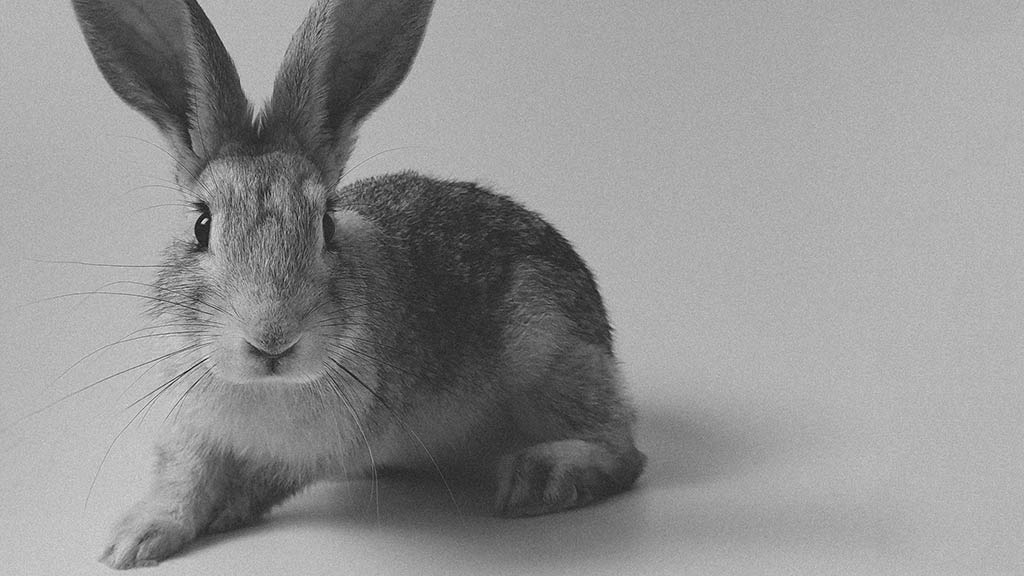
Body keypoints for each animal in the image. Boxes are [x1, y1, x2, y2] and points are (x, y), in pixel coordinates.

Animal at [74, 0, 647, 565]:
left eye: (326, 224)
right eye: (202, 225)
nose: (272, 339)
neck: (267, 387)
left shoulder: (319, 449)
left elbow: (257, 478)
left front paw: (220, 512)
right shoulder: (192, 431)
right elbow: (183, 479)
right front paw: (132, 541)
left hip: (550, 353)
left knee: (625, 453)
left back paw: (538, 478)